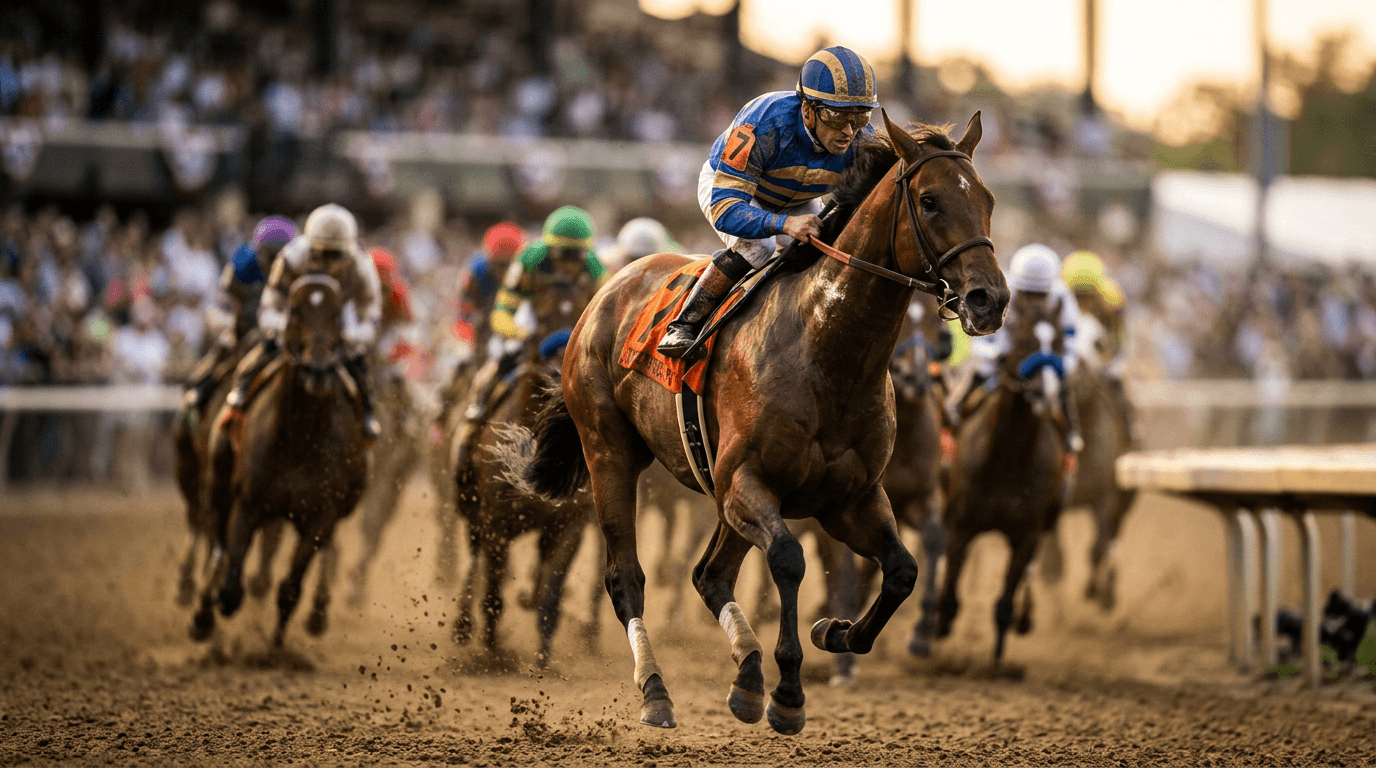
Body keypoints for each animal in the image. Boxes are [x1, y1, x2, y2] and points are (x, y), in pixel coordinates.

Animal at [189, 275, 371, 647]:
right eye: (294, 311)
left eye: (337, 315)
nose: (317, 370)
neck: (301, 440)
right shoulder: (249, 502)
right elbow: (231, 584)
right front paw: (213, 609)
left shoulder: (321, 516)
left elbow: (289, 589)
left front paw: (275, 648)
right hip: (218, 483)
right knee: (217, 544)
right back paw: (201, 614)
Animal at [513, 112, 1007, 734]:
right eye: (930, 200)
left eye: (987, 199)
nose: (990, 299)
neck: (826, 350)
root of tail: (607, 289)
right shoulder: (750, 481)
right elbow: (789, 560)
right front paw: (789, 691)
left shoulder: (849, 496)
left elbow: (902, 569)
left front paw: (836, 633)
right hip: (610, 452)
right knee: (626, 577)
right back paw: (657, 691)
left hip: (720, 494)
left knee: (710, 575)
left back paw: (746, 673)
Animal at [936, 289, 1068, 664]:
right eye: (1024, 341)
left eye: (1059, 343)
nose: (1045, 393)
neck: (1007, 458)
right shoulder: (961, 526)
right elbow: (948, 599)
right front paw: (935, 632)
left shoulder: (1026, 533)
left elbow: (1005, 605)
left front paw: (996, 659)